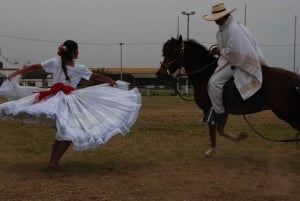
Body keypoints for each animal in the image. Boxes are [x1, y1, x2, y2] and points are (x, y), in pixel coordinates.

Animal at [157, 35, 300, 156]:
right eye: (164, 53)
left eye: (174, 52)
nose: (161, 74)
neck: (207, 74)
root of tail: (292, 77)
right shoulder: (219, 111)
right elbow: (218, 130)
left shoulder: (212, 109)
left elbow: (215, 129)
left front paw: (216, 148)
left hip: (286, 112)